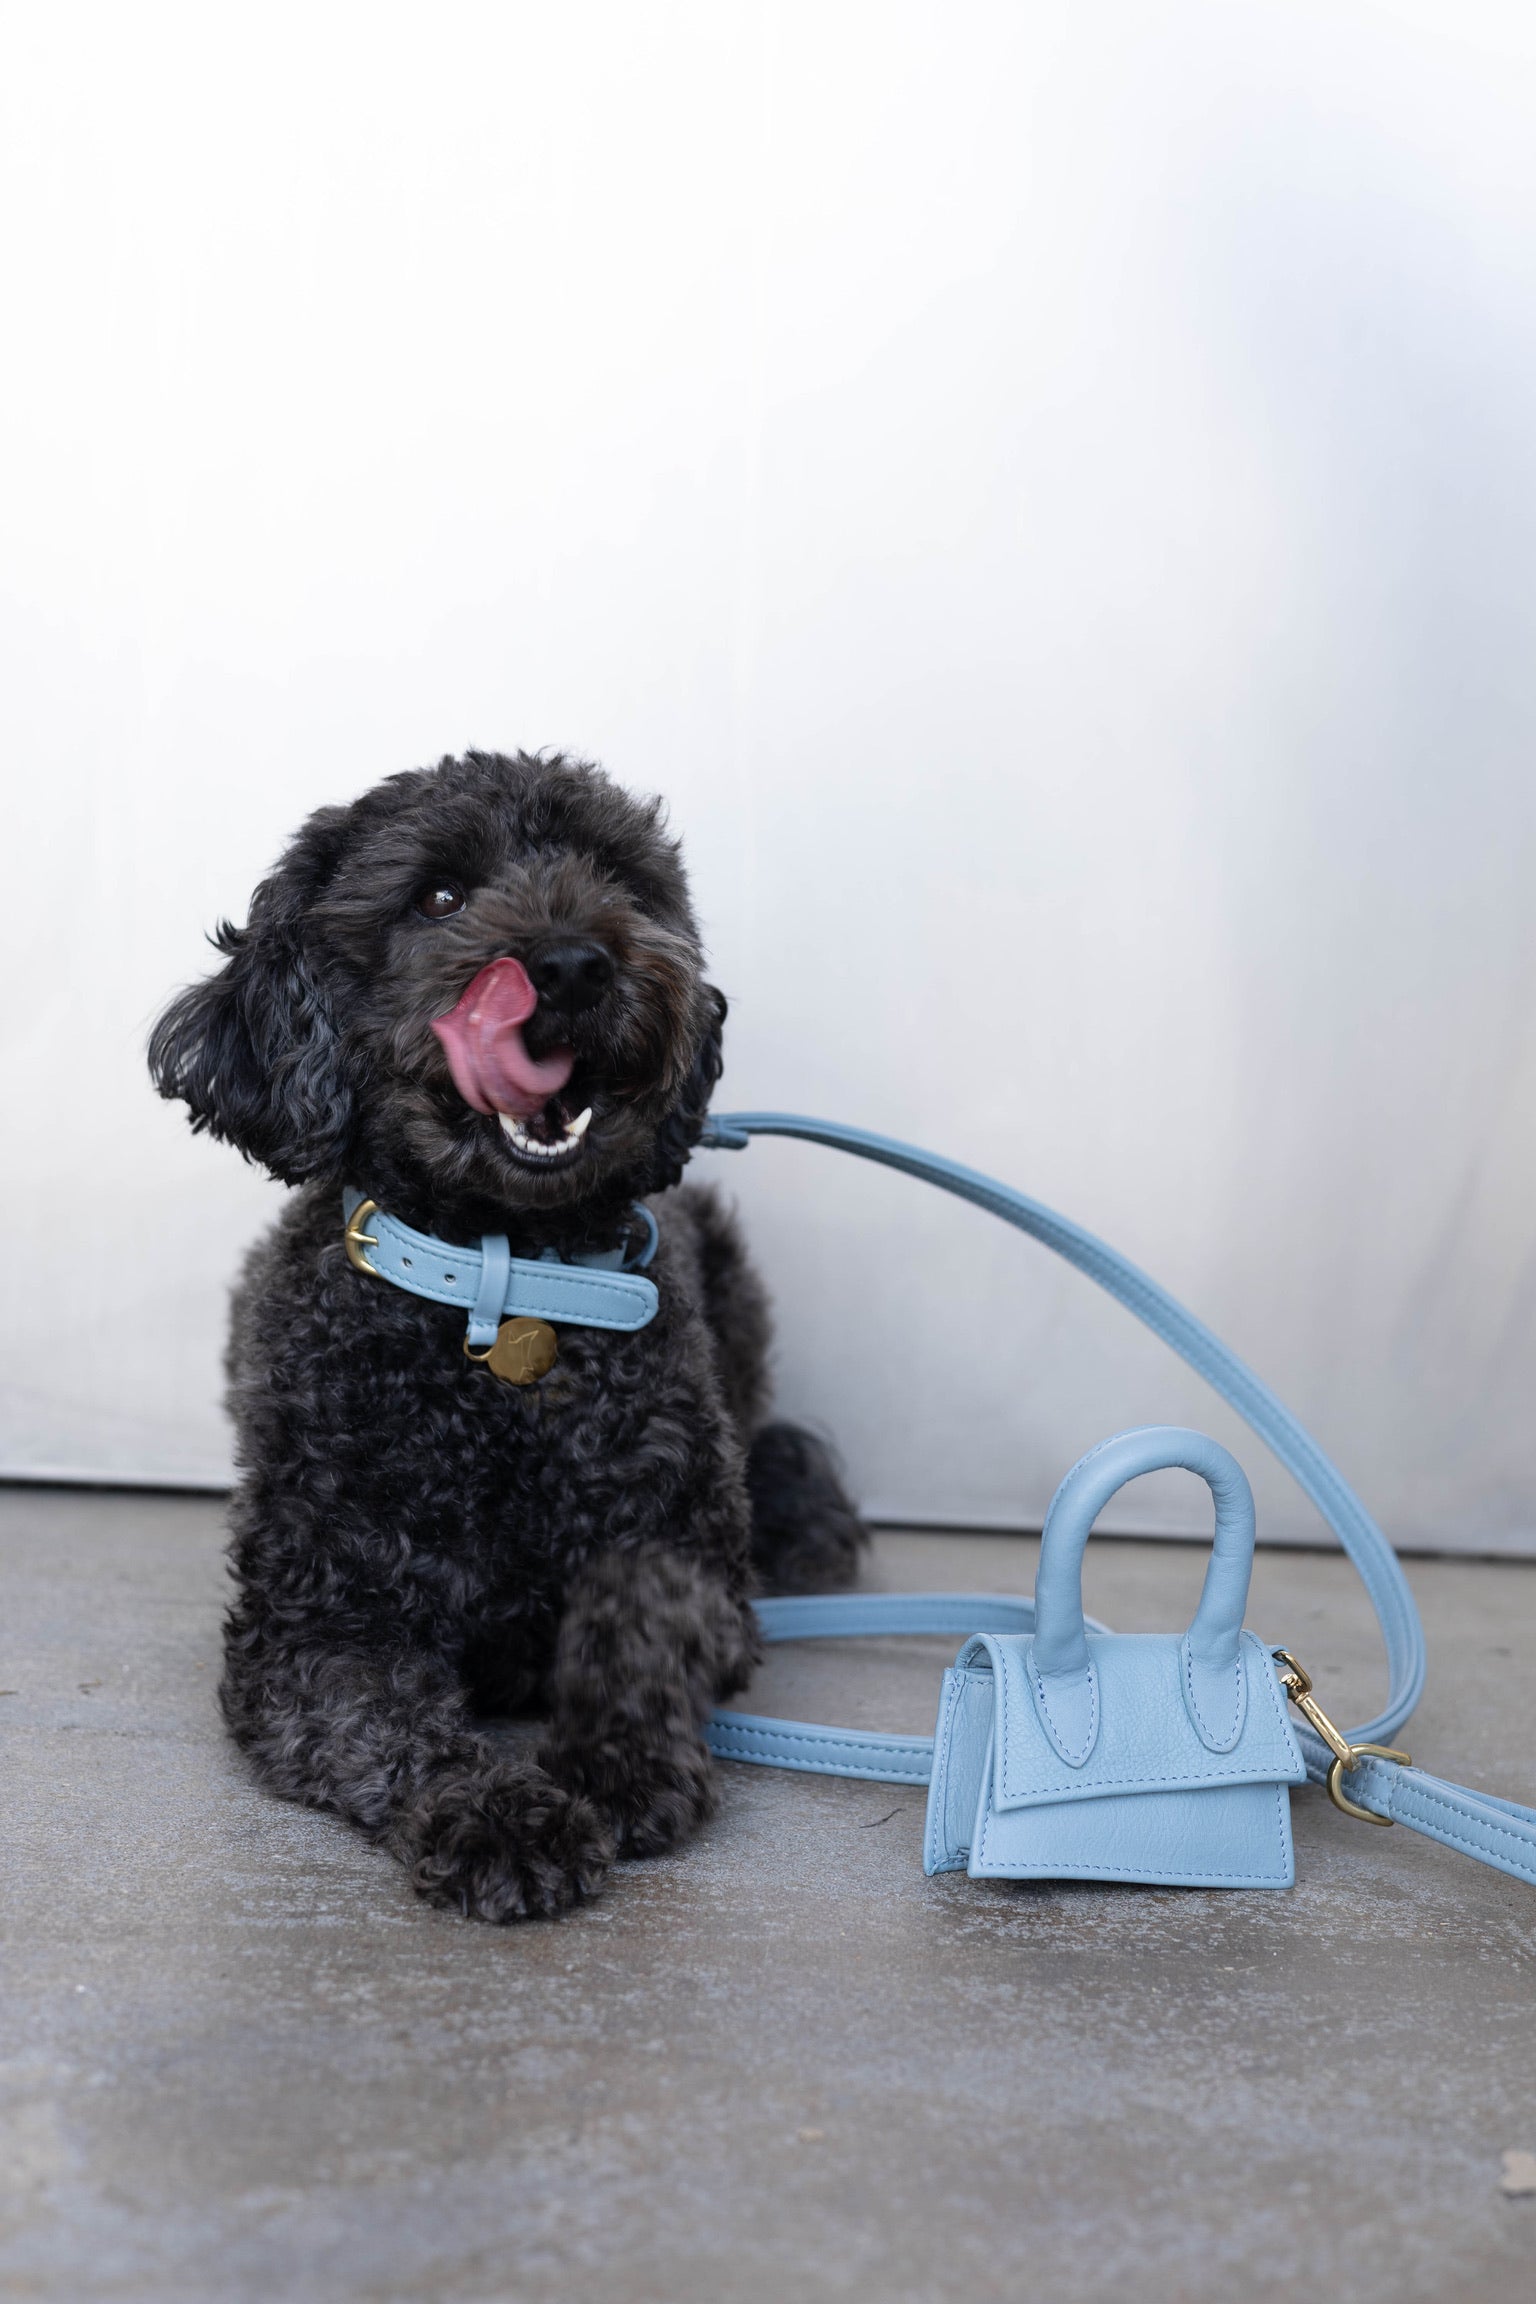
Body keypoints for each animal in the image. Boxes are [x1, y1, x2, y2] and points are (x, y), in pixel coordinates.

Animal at [151, 751, 865, 1907]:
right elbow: (384, 1724)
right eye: (438, 896)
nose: (573, 965)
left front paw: (617, 1760)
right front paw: (496, 1811)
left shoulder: (692, 1554)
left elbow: (646, 1610)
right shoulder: (310, 1626)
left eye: (620, 877)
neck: (507, 1285)